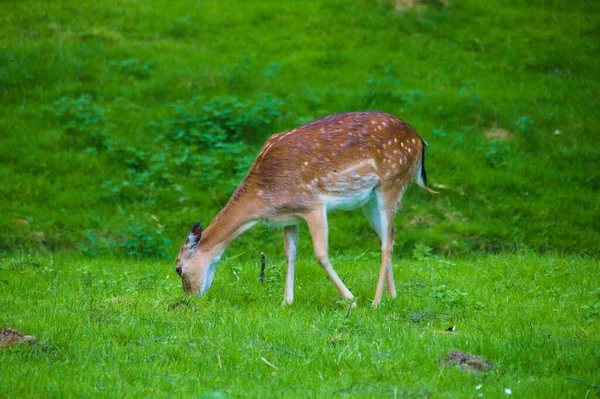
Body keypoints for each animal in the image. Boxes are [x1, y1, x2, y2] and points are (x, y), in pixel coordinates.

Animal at [173, 111, 436, 308]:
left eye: (178, 269)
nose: (189, 299)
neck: (265, 198)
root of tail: (420, 142)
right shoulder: (290, 217)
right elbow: (290, 254)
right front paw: (286, 301)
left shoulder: (313, 204)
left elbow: (320, 254)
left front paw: (350, 300)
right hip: (368, 199)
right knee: (387, 237)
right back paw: (391, 296)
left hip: (391, 182)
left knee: (387, 243)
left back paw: (375, 301)